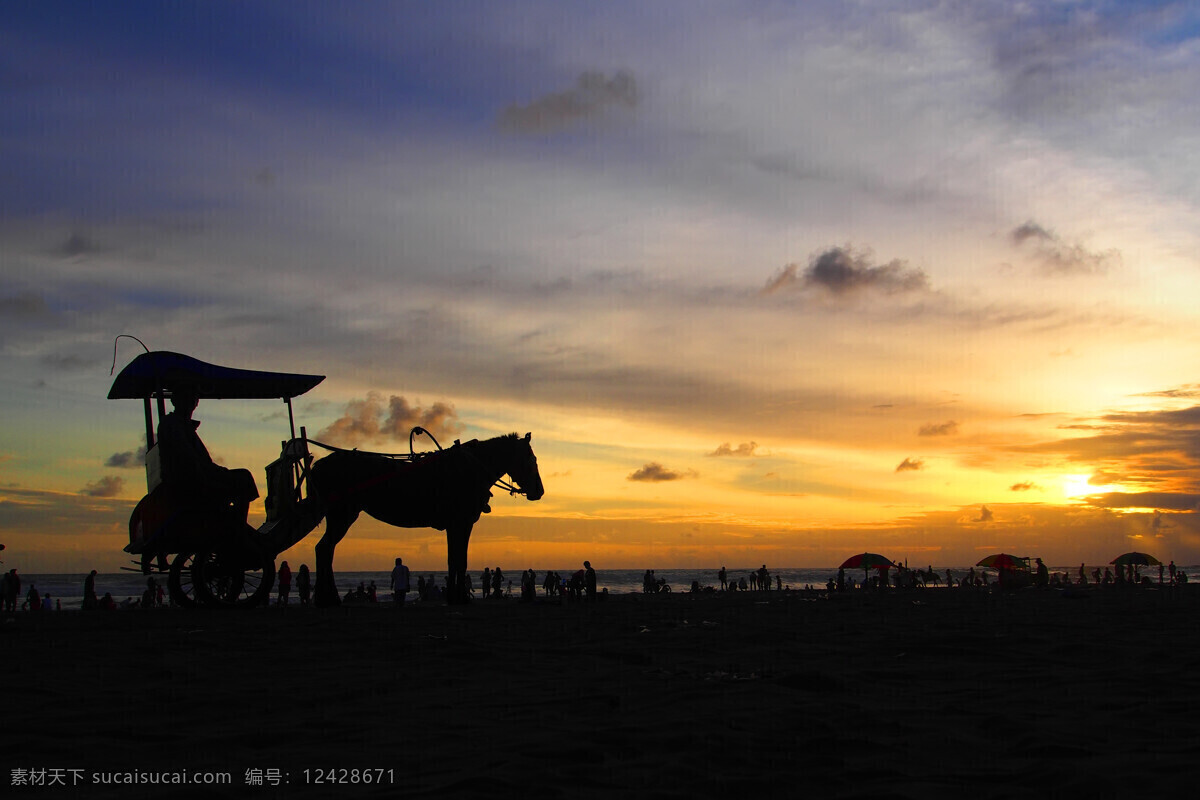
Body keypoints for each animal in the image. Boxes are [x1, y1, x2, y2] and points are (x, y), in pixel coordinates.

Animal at [314, 434, 549, 604]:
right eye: (532, 460)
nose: (539, 491)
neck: (471, 470)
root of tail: (319, 465)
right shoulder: (460, 523)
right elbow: (458, 560)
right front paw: (458, 597)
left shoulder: (457, 525)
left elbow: (456, 560)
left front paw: (455, 596)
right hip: (342, 514)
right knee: (324, 549)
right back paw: (329, 597)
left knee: (324, 550)